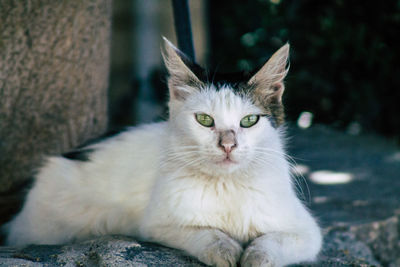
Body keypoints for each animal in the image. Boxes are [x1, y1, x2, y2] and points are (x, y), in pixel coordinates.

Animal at [3, 38, 322, 267]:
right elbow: (205, 234)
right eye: (204, 120)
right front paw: (226, 249)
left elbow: (271, 243)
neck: (225, 185)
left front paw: (255, 256)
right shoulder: (157, 225)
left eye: (249, 121)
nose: (228, 145)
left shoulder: (307, 232)